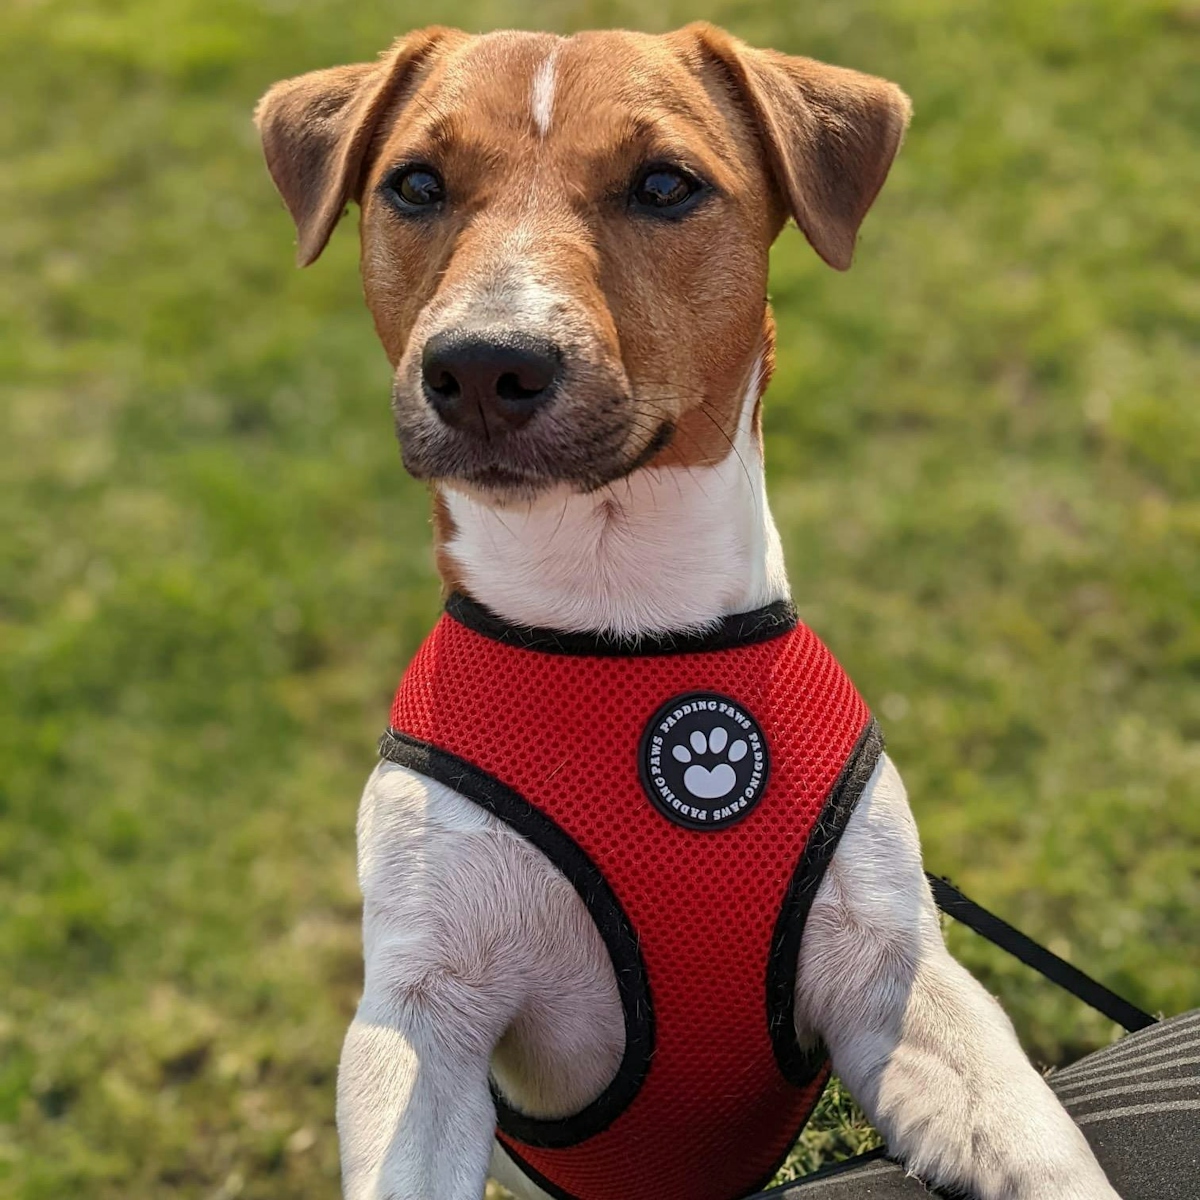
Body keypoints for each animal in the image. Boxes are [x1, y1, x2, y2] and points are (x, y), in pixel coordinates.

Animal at [255, 21, 1123, 1200]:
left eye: (665, 185)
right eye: (415, 185)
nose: (482, 365)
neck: (618, 613)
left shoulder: (895, 975)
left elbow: (1039, 1147)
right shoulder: (426, 1019)